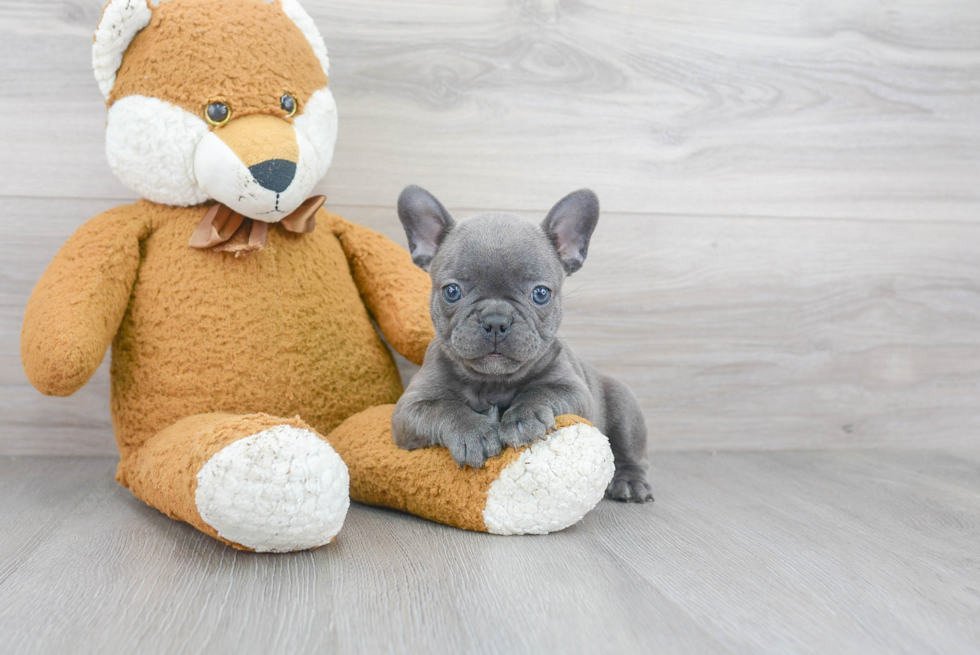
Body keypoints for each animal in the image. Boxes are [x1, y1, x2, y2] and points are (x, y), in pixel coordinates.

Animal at [390, 187, 652, 504]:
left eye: (540, 294)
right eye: (452, 291)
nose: (495, 320)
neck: (492, 383)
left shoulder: (578, 393)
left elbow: (541, 391)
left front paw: (523, 417)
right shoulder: (409, 410)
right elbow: (445, 408)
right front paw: (472, 432)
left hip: (624, 407)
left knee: (630, 452)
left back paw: (630, 483)